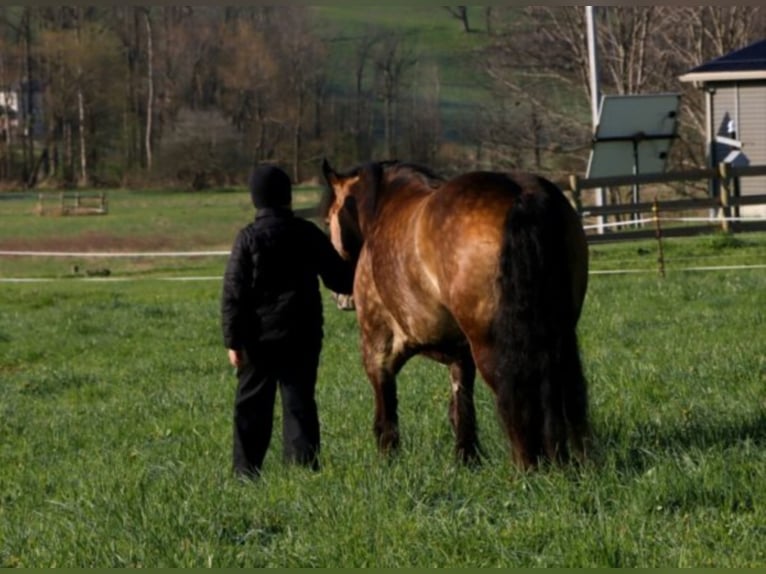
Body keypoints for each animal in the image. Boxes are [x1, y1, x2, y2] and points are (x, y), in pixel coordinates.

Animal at [320, 159, 592, 472]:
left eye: (328, 221)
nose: (339, 296)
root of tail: (522, 194)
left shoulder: (378, 348)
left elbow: (386, 415)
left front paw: (388, 462)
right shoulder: (461, 354)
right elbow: (462, 408)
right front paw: (466, 459)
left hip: (492, 348)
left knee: (516, 399)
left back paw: (527, 470)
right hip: (560, 336)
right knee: (564, 394)